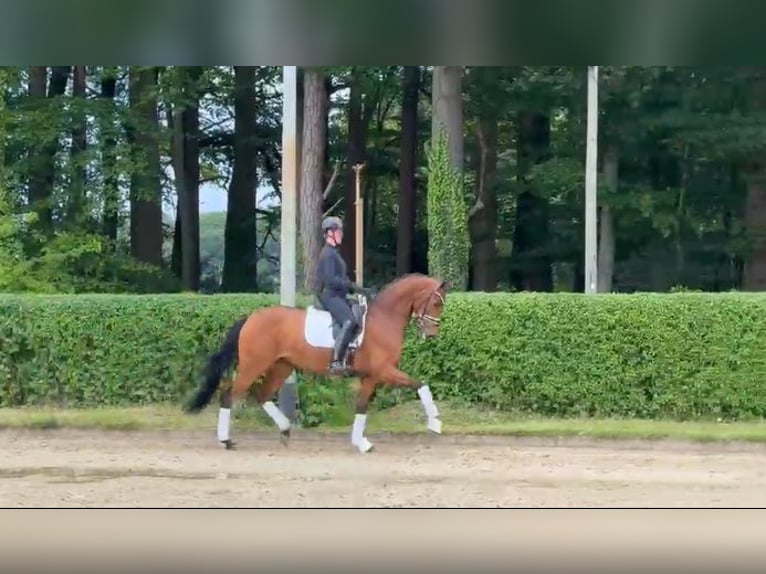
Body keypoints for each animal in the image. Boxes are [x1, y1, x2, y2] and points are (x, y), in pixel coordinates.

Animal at [184, 273, 449, 453]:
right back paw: (226, 440)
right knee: (230, 393)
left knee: (262, 394)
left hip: (282, 366)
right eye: (437, 303)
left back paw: (285, 429)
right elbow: (420, 385)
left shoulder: (370, 376)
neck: (384, 318)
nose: (432, 335)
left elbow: (362, 406)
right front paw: (435, 424)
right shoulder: (382, 371)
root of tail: (251, 317)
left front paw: (360, 442)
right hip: (253, 365)